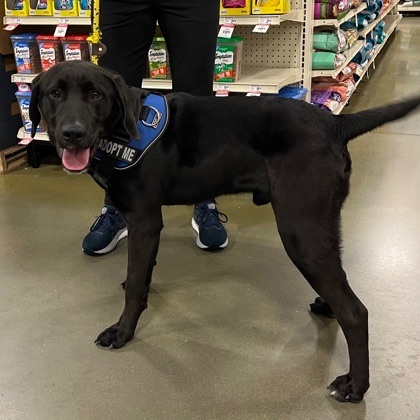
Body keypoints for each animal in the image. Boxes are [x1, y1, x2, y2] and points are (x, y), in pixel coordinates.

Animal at [29, 60, 420, 402]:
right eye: (55, 93)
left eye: (96, 95)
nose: (72, 134)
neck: (123, 131)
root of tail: (334, 122)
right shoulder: (147, 225)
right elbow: (143, 274)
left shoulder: (144, 219)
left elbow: (136, 281)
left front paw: (123, 331)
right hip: (319, 226)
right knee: (338, 281)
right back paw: (327, 306)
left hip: (300, 229)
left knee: (356, 312)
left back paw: (356, 385)